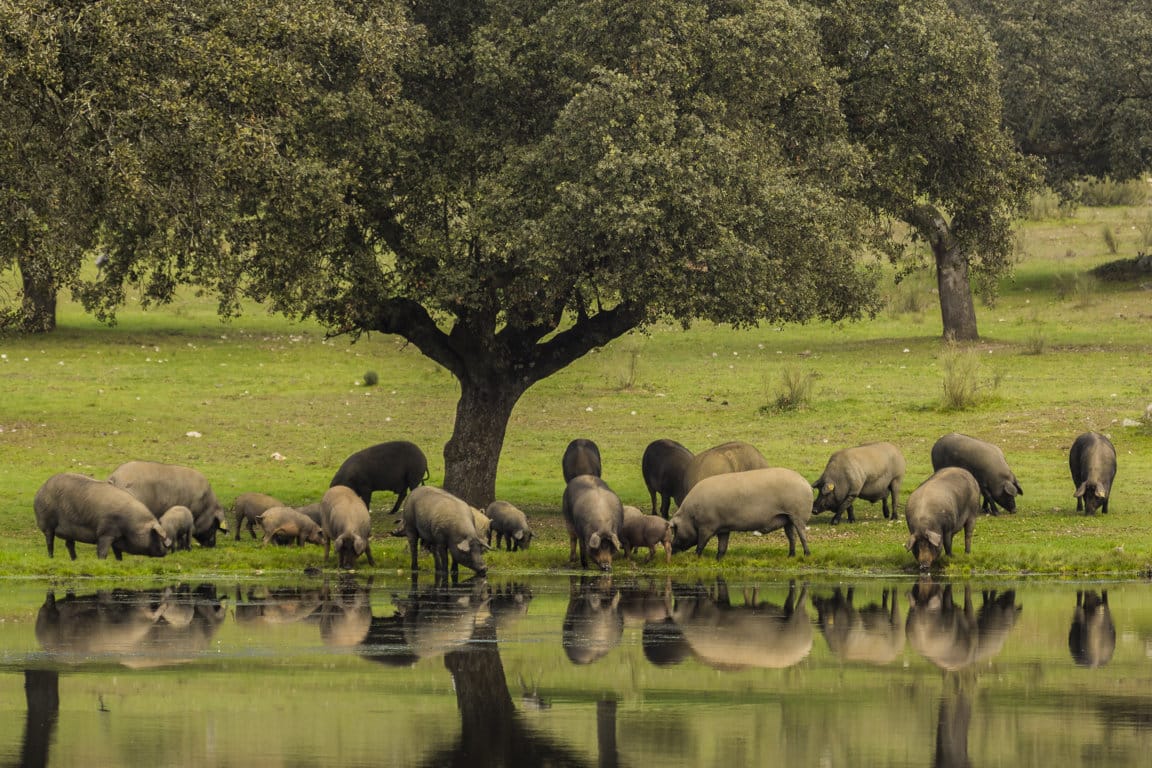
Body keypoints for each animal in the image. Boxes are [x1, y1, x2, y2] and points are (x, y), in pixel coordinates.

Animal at [33, 472, 170, 561]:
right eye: (155, 534)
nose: (166, 550)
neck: (131, 525)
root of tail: (40, 490)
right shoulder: (105, 532)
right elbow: (102, 551)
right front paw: (101, 561)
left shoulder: (117, 539)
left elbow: (118, 553)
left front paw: (119, 561)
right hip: (47, 522)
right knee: (50, 541)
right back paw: (51, 558)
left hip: (69, 531)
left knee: (69, 545)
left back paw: (75, 560)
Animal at [668, 465, 811, 561]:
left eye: (675, 530)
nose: (672, 548)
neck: (690, 515)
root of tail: (805, 483)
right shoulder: (723, 529)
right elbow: (722, 546)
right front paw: (718, 559)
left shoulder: (706, 526)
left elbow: (701, 543)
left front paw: (696, 557)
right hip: (787, 518)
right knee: (792, 536)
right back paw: (790, 556)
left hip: (797, 515)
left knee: (802, 535)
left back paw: (806, 554)